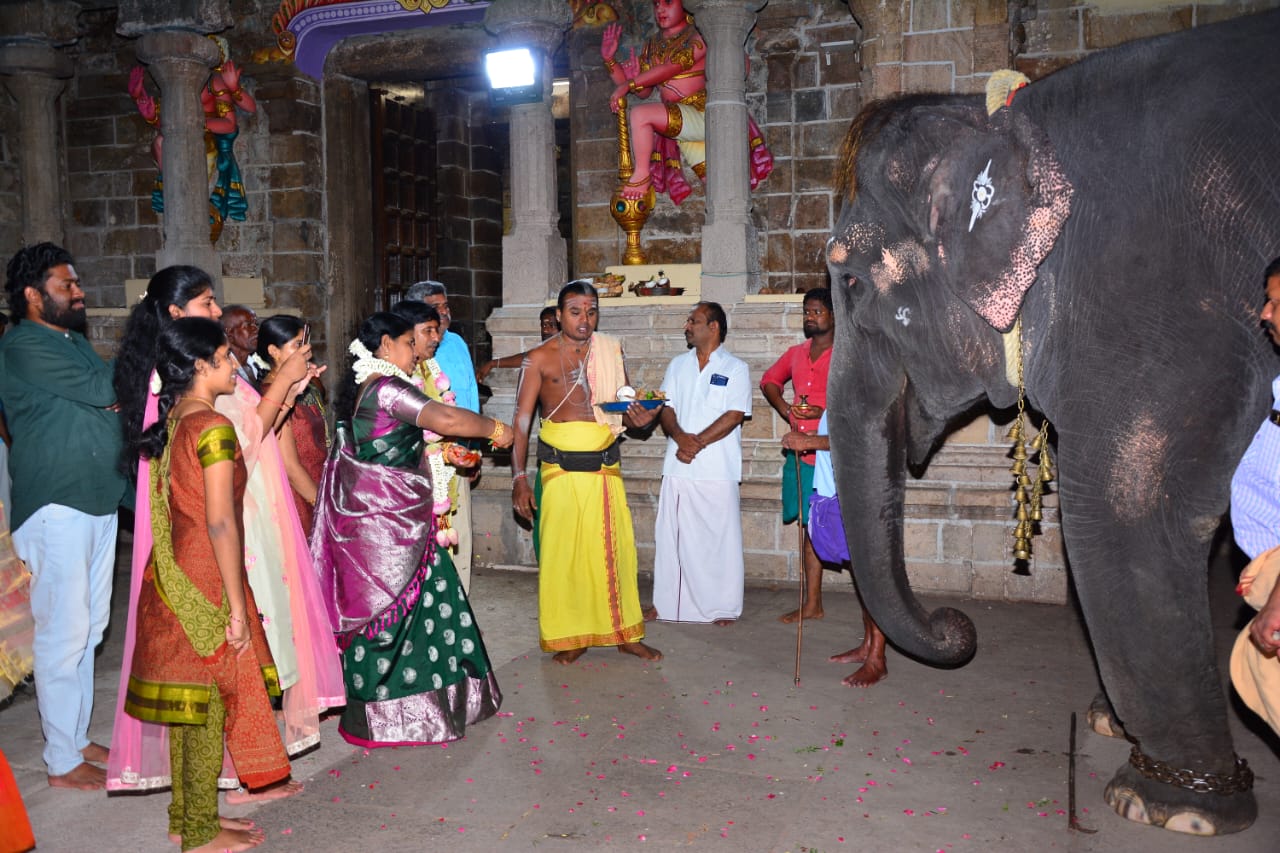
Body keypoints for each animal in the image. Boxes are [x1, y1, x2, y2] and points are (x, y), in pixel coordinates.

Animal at [824, 9, 1280, 835]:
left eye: (849, 281)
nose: (957, 625)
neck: (1013, 120)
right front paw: (1114, 728)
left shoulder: (1152, 298)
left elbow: (1129, 509)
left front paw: (1167, 803)